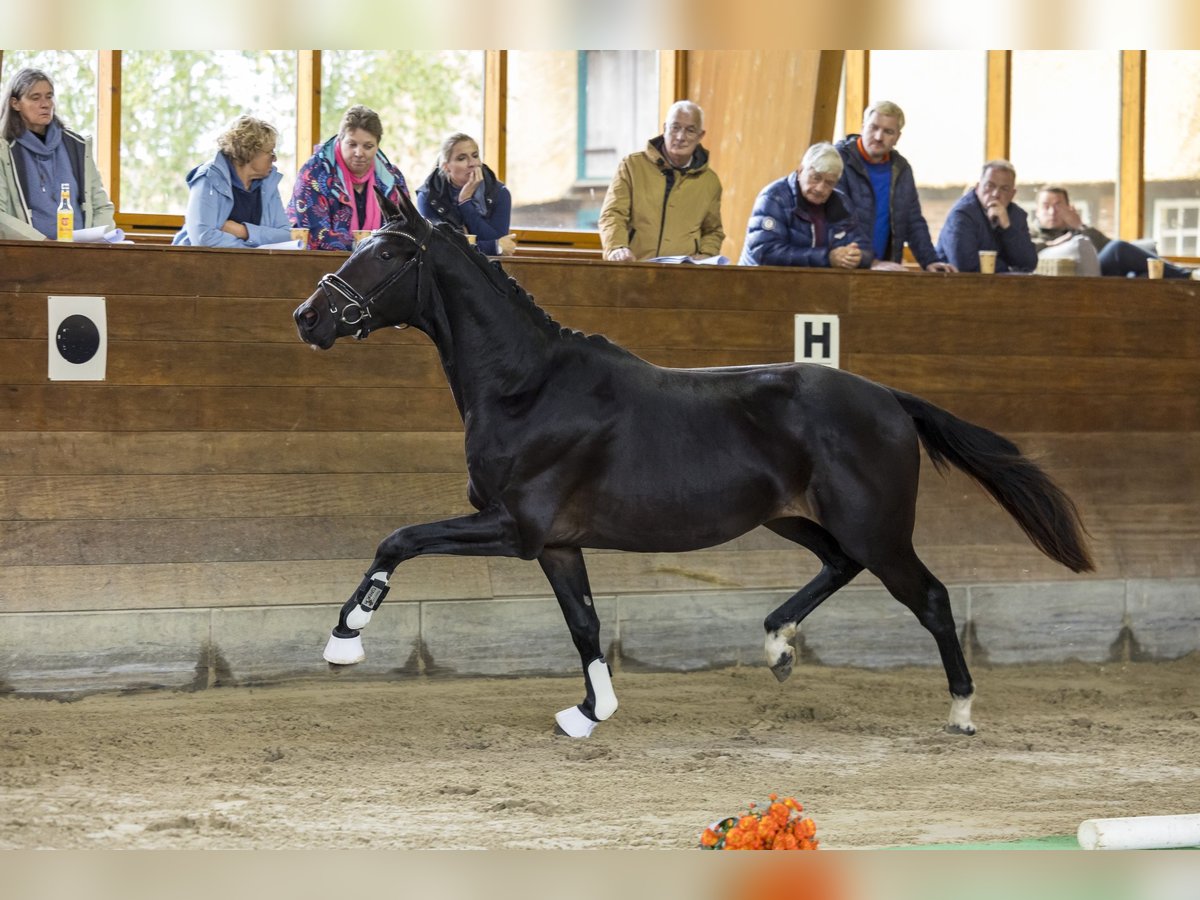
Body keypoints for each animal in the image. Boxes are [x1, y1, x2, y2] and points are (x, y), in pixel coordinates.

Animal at [290, 190, 1089, 739]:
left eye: (387, 253)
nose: (309, 317)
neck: (528, 387)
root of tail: (889, 398)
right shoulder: (556, 544)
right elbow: (583, 623)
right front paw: (590, 713)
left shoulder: (513, 526)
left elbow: (399, 539)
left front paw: (344, 641)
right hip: (795, 519)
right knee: (838, 565)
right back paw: (777, 647)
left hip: (878, 528)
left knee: (931, 599)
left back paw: (960, 712)